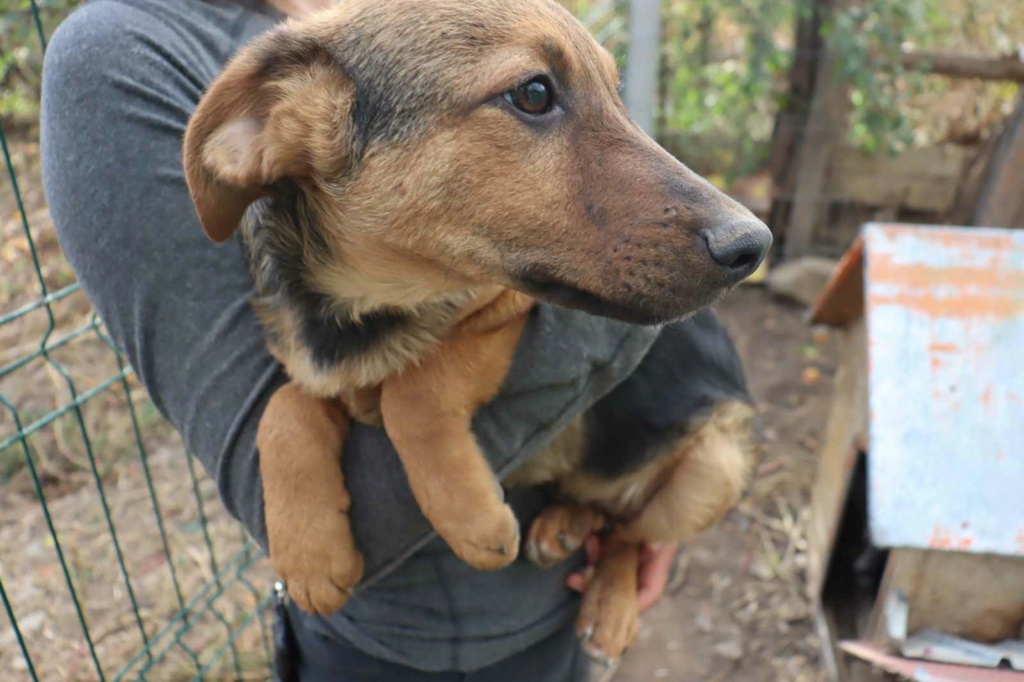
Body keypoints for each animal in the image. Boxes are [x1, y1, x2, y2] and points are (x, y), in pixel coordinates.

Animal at [180, 0, 770, 659]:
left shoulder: (508, 307)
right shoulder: (317, 361)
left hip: (714, 467)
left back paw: (610, 606)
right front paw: (310, 551)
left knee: (629, 533)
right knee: (597, 507)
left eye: (616, 95)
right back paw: (565, 524)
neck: (373, 304)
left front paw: (471, 516)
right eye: (534, 93)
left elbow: (413, 394)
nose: (753, 245)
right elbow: (285, 408)